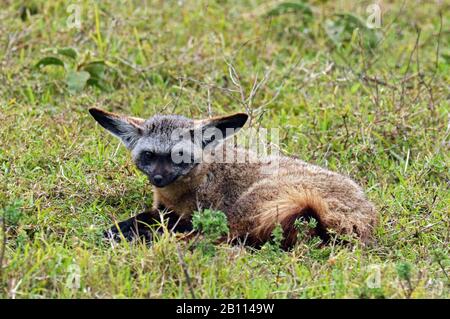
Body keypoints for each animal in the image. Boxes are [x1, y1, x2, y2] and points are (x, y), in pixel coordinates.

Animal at [89, 109, 376, 249]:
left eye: (179, 156)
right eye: (149, 155)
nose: (158, 178)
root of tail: (362, 218)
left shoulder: (199, 213)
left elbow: (158, 222)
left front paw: (123, 232)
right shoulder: (164, 209)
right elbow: (146, 216)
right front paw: (119, 229)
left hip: (248, 206)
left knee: (223, 238)